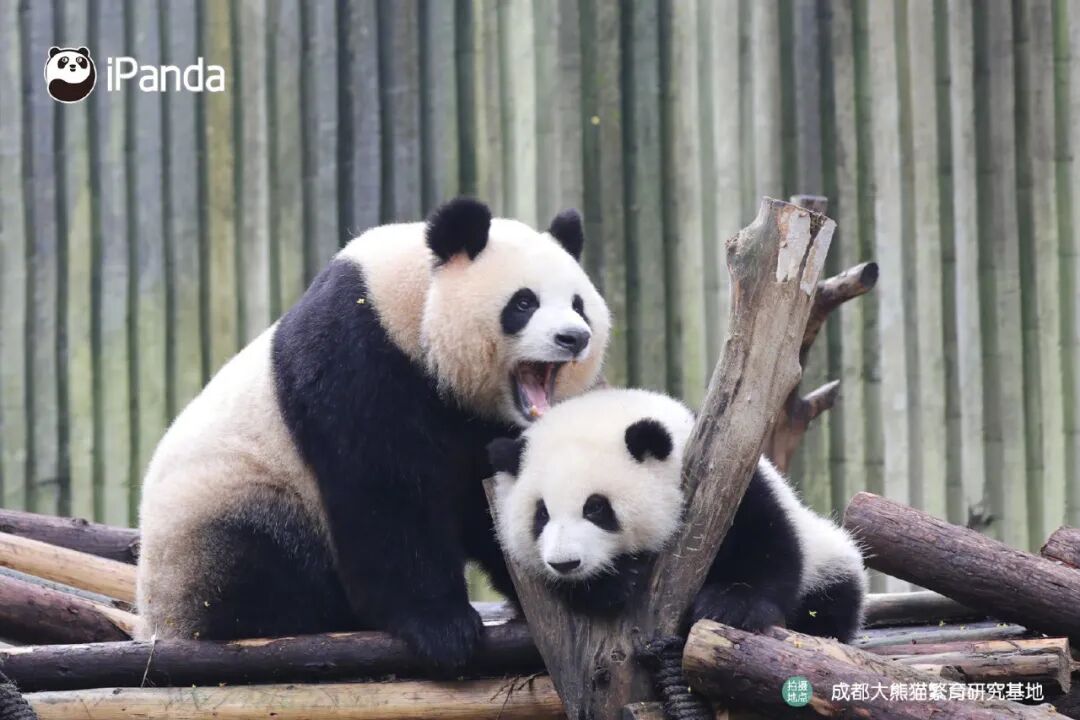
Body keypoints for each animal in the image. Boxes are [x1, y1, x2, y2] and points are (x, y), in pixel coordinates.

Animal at [137, 197, 611, 673]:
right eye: (524, 303)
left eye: (578, 304)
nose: (574, 337)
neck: (408, 306)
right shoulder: (358, 357)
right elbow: (385, 491)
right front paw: (443, 629)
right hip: (217, 510)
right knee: (254, 560)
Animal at [488, 387, 867, 642]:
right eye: (541, 514)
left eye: (596, 507)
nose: (565, 563)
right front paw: (612, 581)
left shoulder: (729, 480)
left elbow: (766, 541)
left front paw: (730, 606)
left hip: (827, 557)